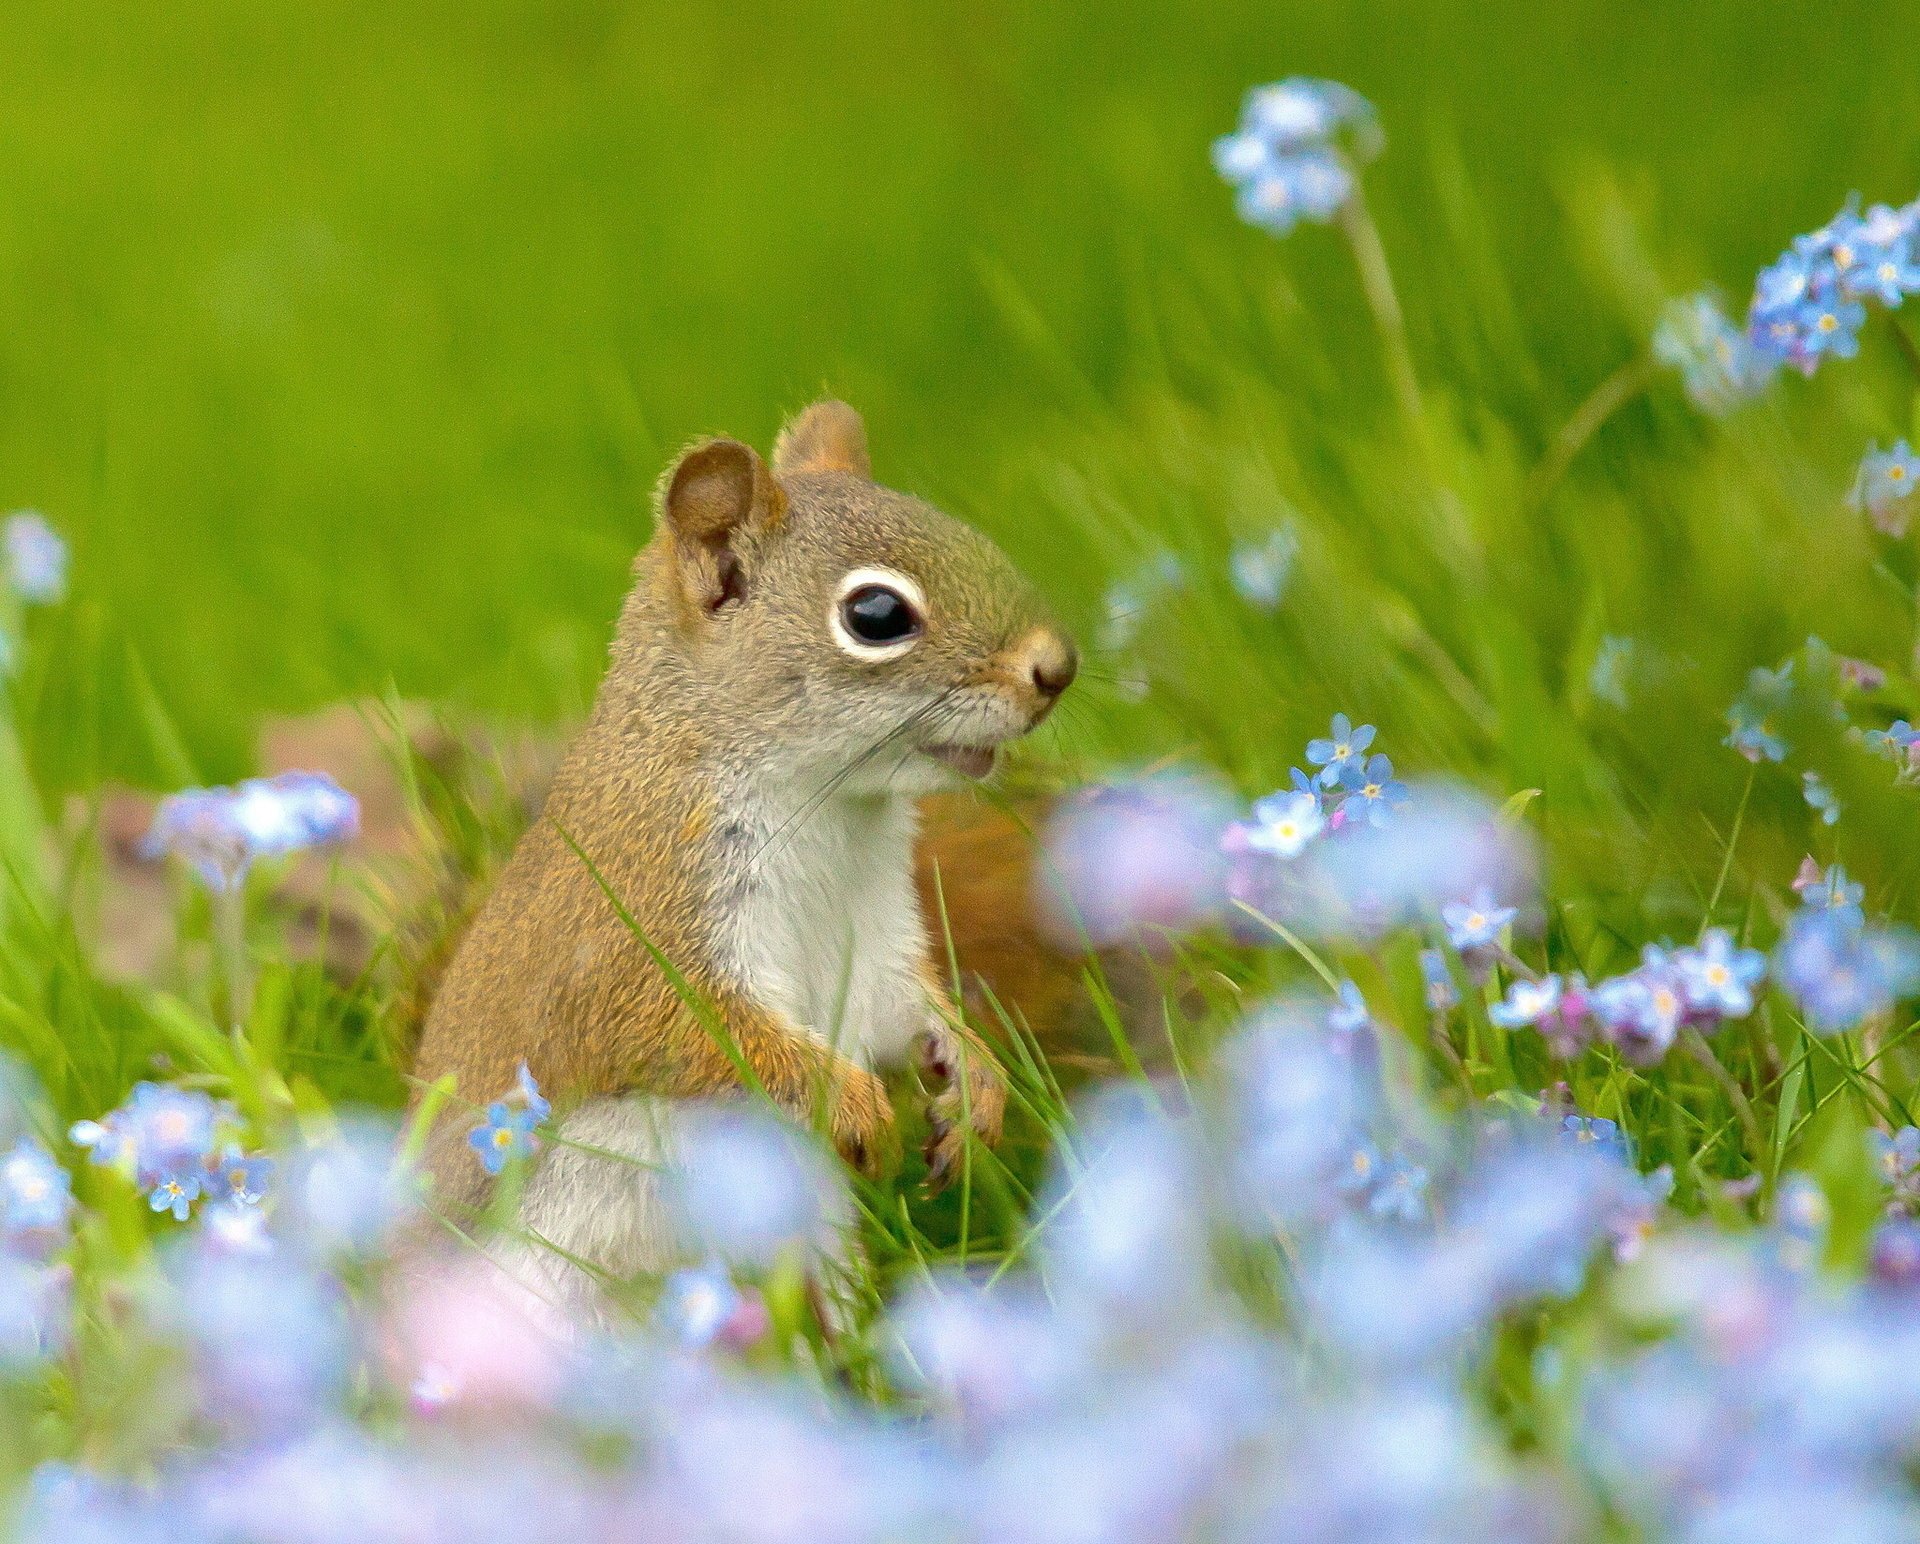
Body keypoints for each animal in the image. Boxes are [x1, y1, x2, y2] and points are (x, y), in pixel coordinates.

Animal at [412, 397, 1075, 1305]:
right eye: (876, 616)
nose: (1058, 667)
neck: (831, 810)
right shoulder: (640, 921)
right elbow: (694, 1029)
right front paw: (854, 1103)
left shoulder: (874, 936)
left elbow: (904, 1007)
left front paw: (975, 1085)